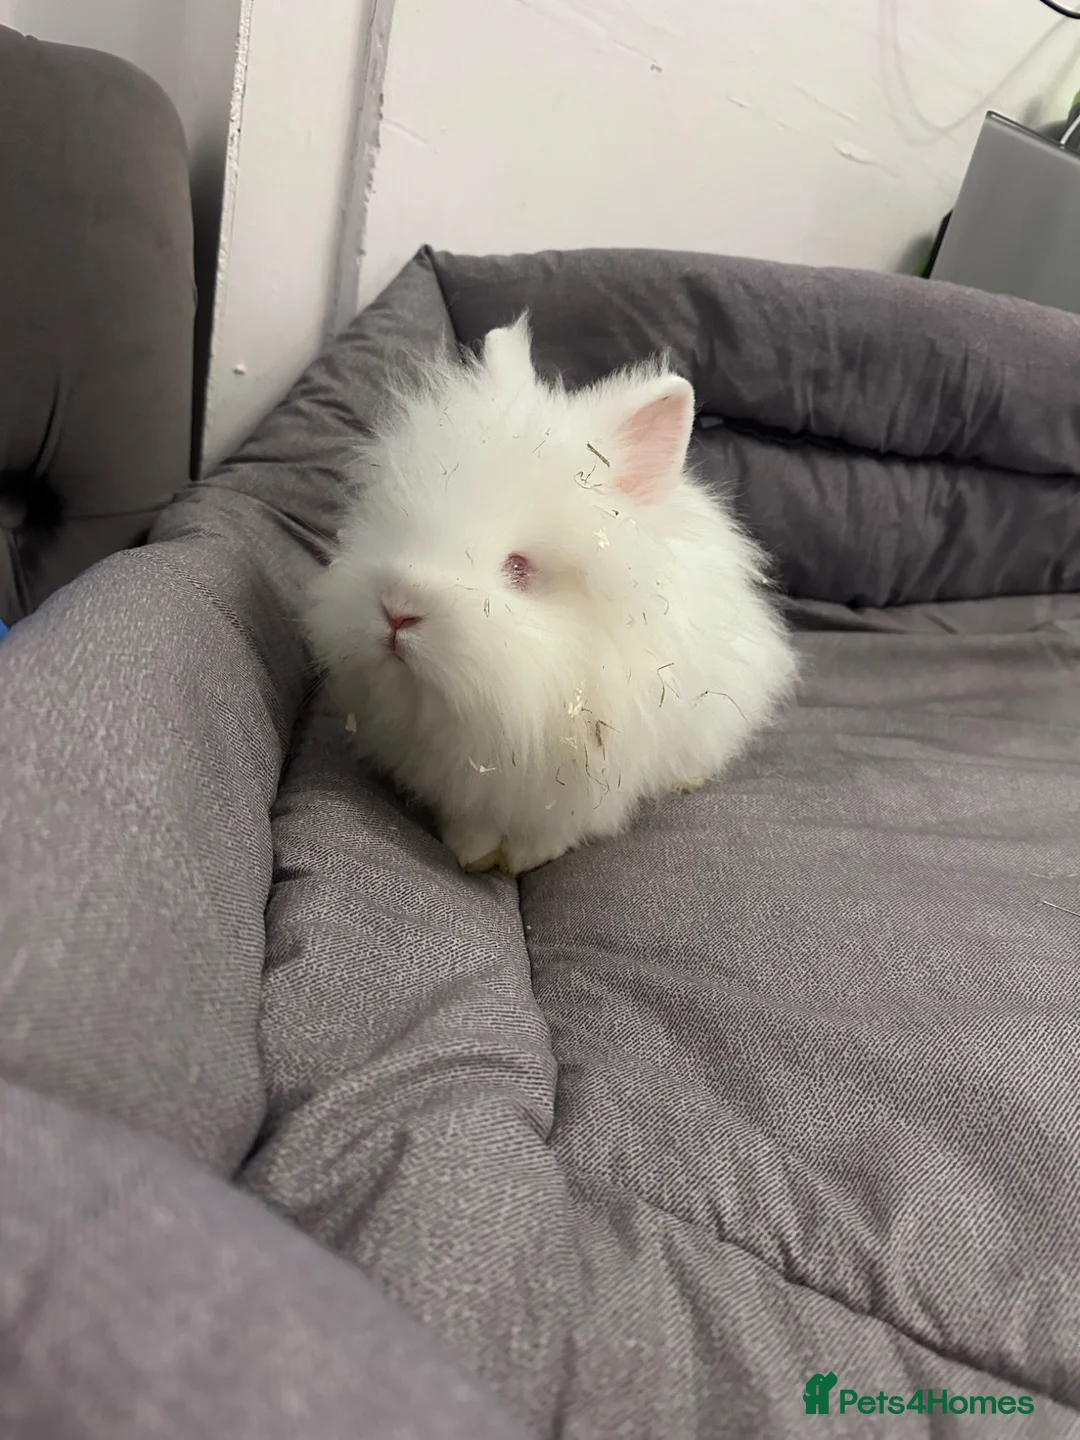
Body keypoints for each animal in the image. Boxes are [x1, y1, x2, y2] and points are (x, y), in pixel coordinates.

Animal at [305, 315, 797, 878]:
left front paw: (520, 861)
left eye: (518, 568)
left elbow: (549, 831)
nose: (397, 609)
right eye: (396, 523)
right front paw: (470, 852)